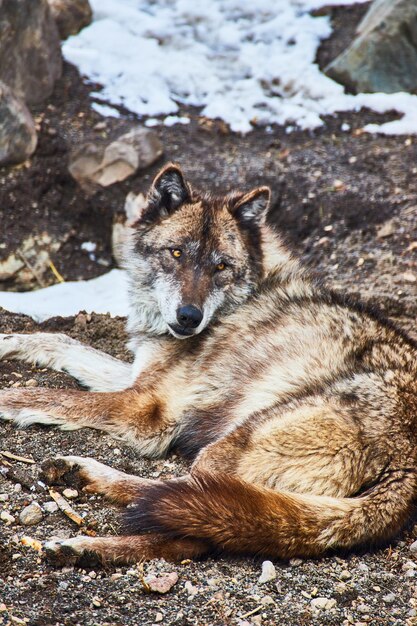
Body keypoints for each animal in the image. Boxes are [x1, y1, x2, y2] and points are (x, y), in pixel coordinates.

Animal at [0, 163, 416, 564]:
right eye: (177, 253)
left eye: (221, 267)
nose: (189, 317)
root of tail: (407, 472)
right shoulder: (140, 377)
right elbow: (62, 342)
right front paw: (10, 342)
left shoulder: (145, 409)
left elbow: (50, 396)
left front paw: (9, 397)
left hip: (227, 445)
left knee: (190, 521)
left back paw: (84, 534)